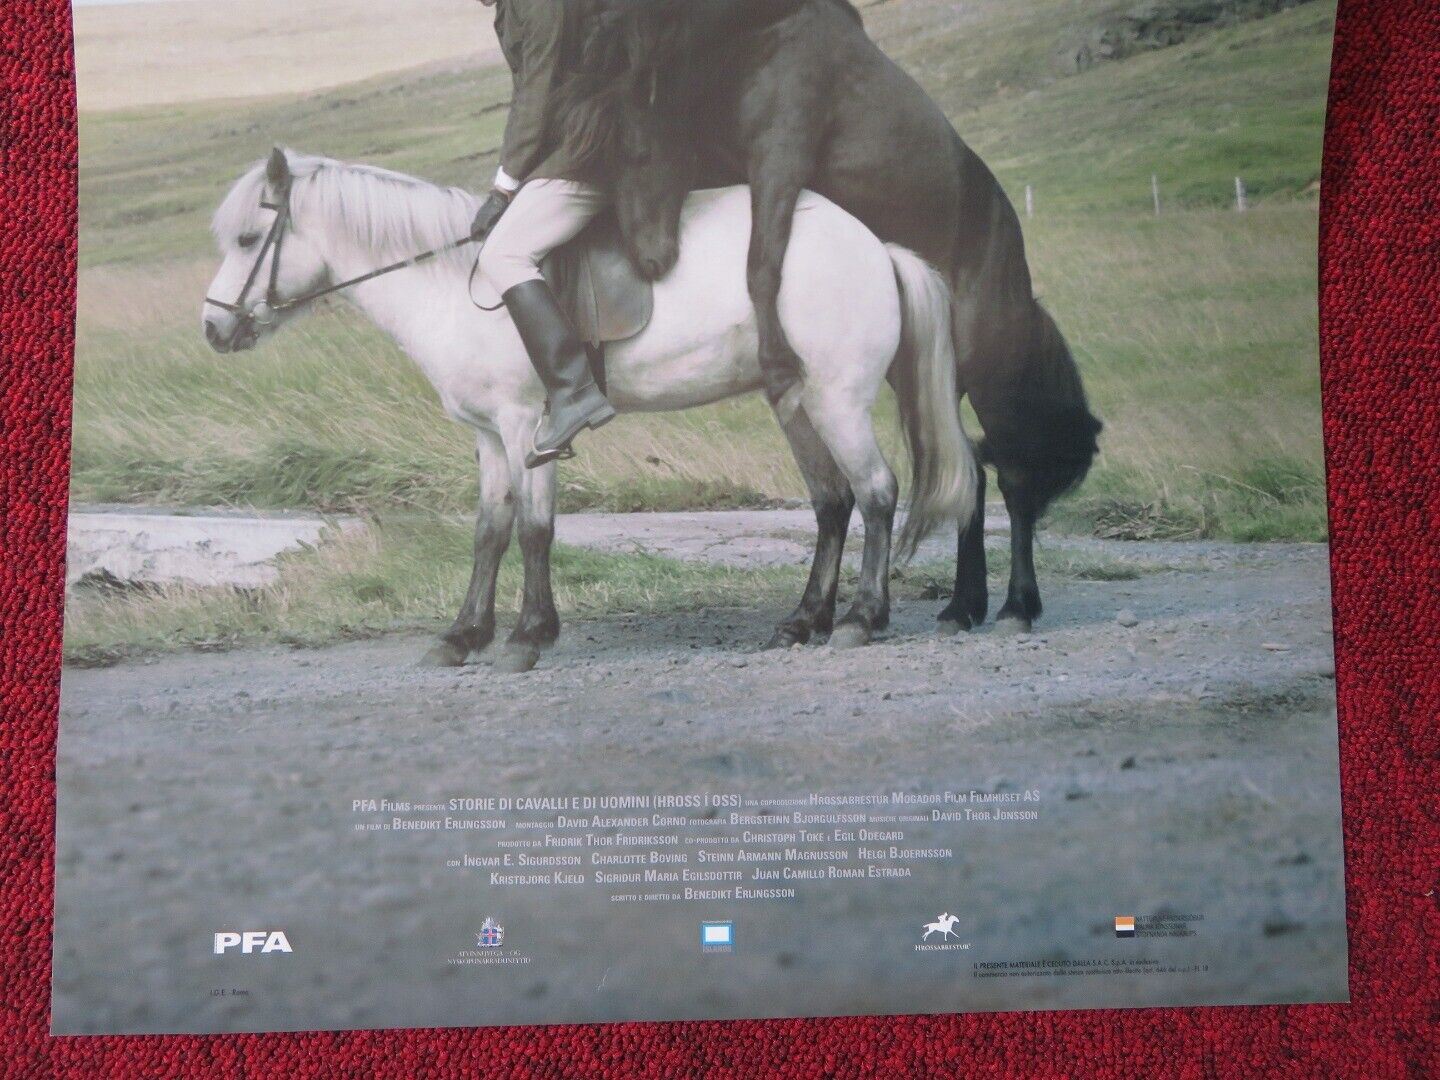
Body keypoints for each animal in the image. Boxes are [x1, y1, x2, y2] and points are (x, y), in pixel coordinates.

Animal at [201, 149, 978, 672]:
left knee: (876, 493)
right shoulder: (489, 439)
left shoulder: (529, 427)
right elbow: (489, 532)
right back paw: (801, 621)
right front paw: (462, 635)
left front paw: (526, 636)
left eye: (247, 240)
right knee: (832, 502)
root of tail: (876, 246)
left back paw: (860, 619)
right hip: (794, 402)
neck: (453, 283)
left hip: (836, 399)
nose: (213, 329)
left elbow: (535, 531)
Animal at [558, 0, 1103, 635]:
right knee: (970, 469)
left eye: (636, 151)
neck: (755, 36)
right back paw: (962, 604)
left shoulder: (779, 159)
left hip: (989, 372)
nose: (651, 260)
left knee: (1012, 477)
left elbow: (760, 263)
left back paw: (1015, 604)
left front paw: (774, 359)